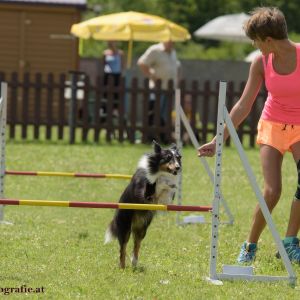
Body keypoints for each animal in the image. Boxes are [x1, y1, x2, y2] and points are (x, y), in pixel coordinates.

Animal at [104, 141, 182, 270]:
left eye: (178, 157)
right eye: (168, 158)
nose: (178, 167)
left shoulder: (164, 197)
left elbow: (167, 192)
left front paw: (170, 185)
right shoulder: (145, 194)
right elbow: (157, 181)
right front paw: (163, 181)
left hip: (142, 229)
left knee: (136, 245)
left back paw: (134, 262)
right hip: (125, 227)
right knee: (122, 249)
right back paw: (122, 267)